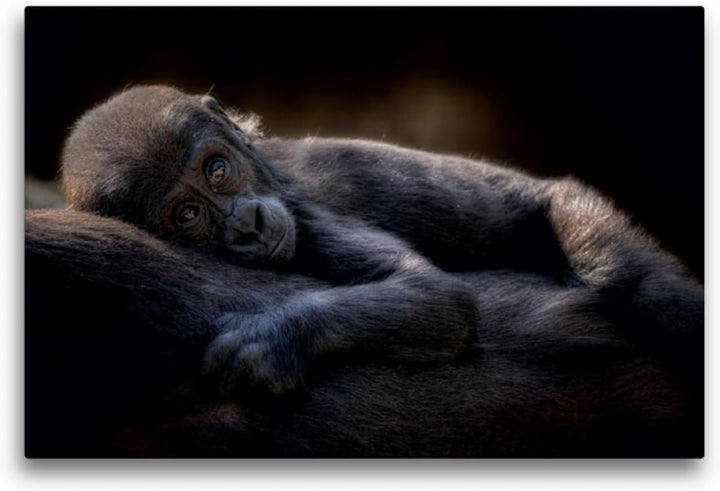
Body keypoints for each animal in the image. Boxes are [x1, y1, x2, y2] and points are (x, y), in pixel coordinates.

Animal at [60, 85, 702, 393]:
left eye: (218, 170)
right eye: (188, 214)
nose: (246, 226)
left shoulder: (305, 215)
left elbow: (432, 294)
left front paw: (280, 335)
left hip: (570, 203)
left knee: (624, 279)